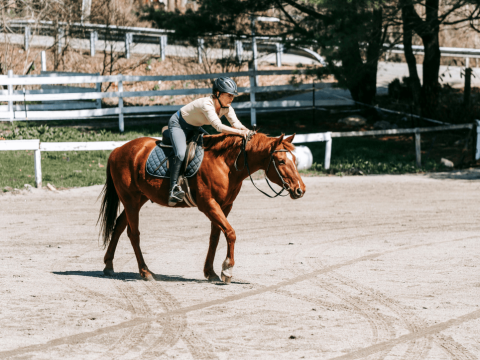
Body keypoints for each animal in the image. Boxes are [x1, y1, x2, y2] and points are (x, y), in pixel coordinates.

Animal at [98, 131, 308, 282]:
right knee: (133, 234)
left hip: (138, 199)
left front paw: (211, 272)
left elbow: (215, 237)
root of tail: (118, 150)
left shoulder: (225, 206)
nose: (300, 189)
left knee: (119, 225)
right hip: (131, 200)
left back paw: (108, 265)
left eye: (294, 160)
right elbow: (230, 233)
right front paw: (227, 269)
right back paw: (145, 272)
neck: (226, 164)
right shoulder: (208, 204)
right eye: (281, 161)